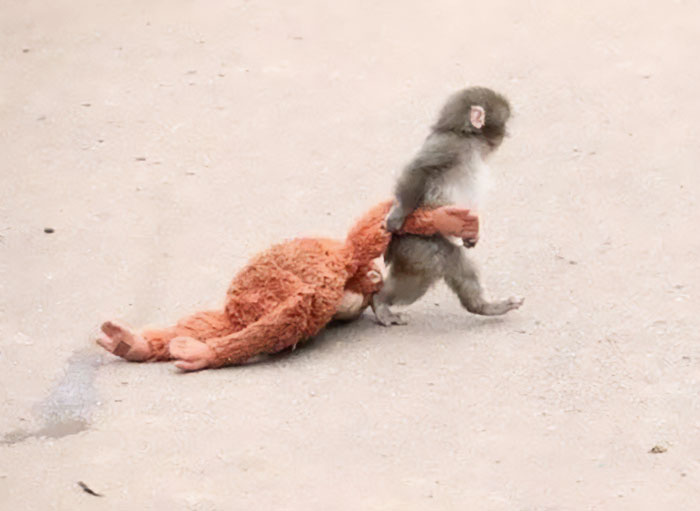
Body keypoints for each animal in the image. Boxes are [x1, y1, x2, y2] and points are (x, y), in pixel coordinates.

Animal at [372, 86, 523, 326]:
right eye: (505, 122)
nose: (506, 134)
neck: (467, 137)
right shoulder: (449, 146)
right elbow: (419, 169)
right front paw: (397, 215)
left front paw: (471, 237)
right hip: (416, 243)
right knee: (425, 272)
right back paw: (380, 302)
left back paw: (485, 307)